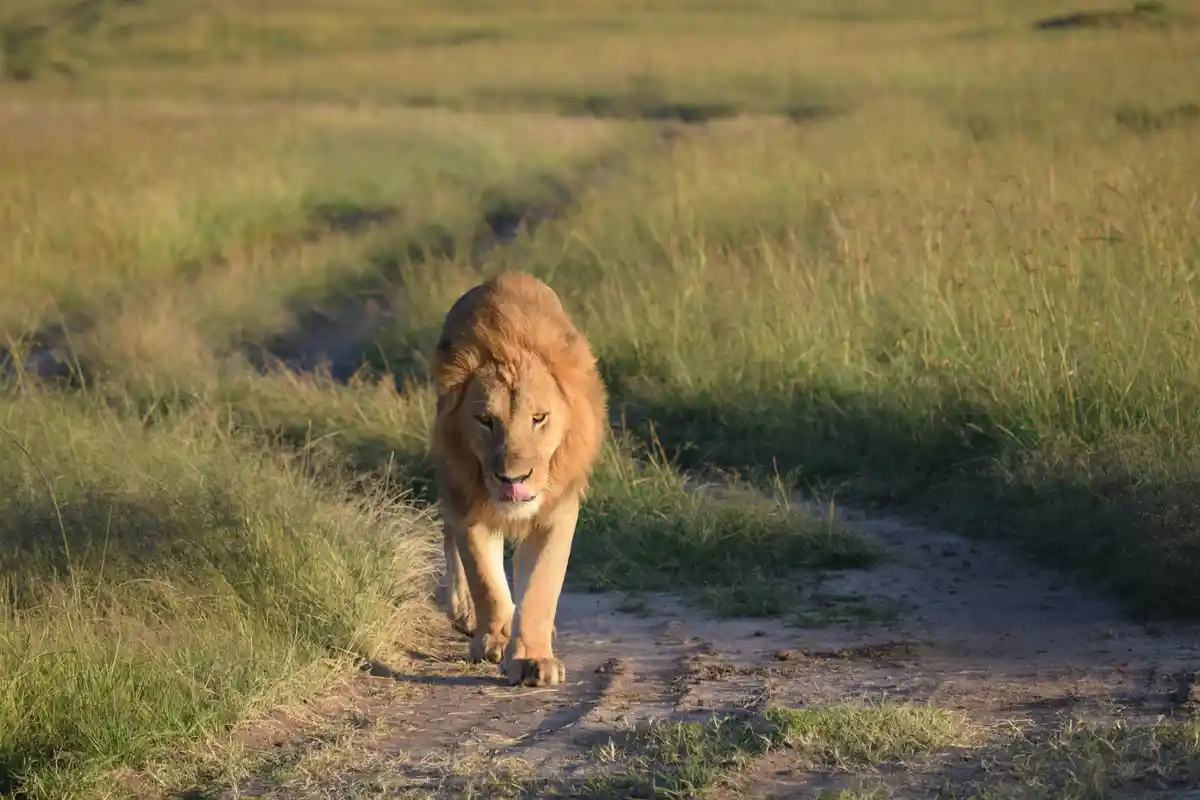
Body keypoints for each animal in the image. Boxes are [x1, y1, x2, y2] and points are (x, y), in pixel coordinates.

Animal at [430, 272, 608, 687]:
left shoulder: (557, 512)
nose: (514, 479)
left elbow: (541, 586)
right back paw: (467, 614)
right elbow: (486, 582)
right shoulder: (469, 504)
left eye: (538, 418)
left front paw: (532, 658)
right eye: (485, 420)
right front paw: (494, 639)